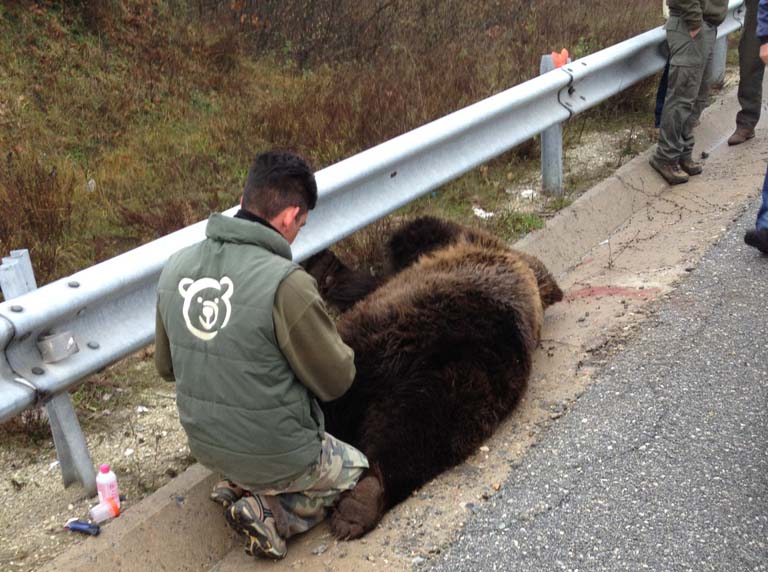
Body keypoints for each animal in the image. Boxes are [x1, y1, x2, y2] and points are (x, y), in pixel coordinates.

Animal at [302, 217, 564, 540]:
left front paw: (323, 265)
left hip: (368, 347)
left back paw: (356, 504)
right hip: (468, 380)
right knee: (424, 434)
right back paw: (365, 500)